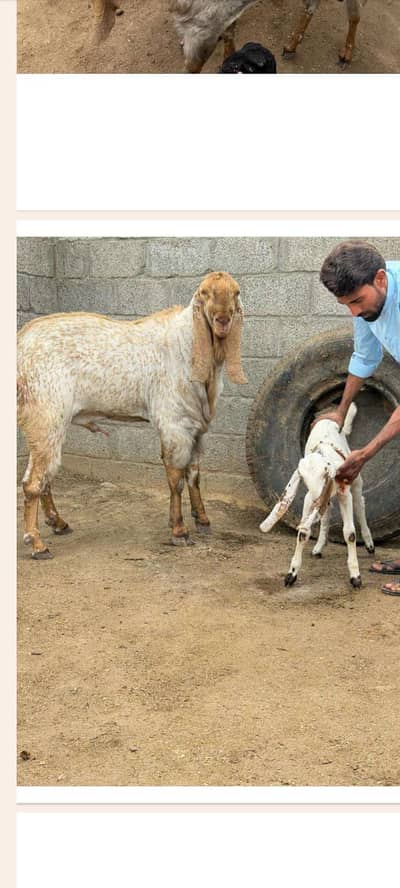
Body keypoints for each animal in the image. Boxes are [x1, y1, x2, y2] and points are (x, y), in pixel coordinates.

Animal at [17, 272, 247, 559]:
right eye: (204, 293)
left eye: (236, 292)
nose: (223, 321)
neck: (187, 344)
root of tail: (20, 344)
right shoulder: (174, 423)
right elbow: (176, 479)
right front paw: (179, 531)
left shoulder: (196, 427)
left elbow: (194, 475)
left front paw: (202, 520)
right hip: (47, 416)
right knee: (33, 481)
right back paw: (38, 544)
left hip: (44, 423)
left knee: (42, 475)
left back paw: (58, 523)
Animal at [259, 403, 375, 588]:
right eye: (303, 478)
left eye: (325, 474)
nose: (316, 502)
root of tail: (329, 419)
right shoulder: (310, 498)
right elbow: (303, 533)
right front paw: (291, 574)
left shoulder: (343, 493)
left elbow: (349, 533)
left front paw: (355, 577)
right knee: (327, 513)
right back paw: (319, 546)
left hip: (356, 483)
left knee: (360, 505)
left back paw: (369, 544)